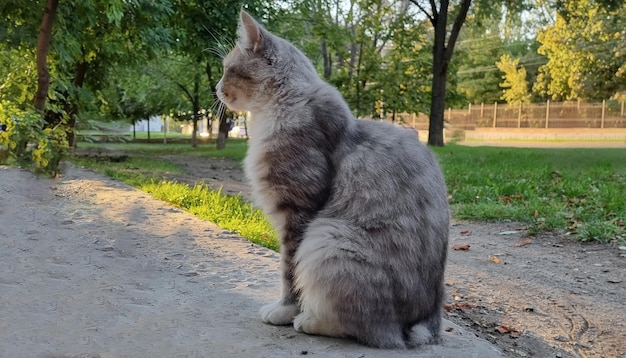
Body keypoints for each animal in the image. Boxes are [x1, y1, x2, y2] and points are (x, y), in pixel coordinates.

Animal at [216, 9, 448, 348]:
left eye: (227, 69)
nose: (216, 88)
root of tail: (428, 319)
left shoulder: (297, 214)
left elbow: (289, 273)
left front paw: (285, 310)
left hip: (326, 238)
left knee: (366, 327)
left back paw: (310, 320)